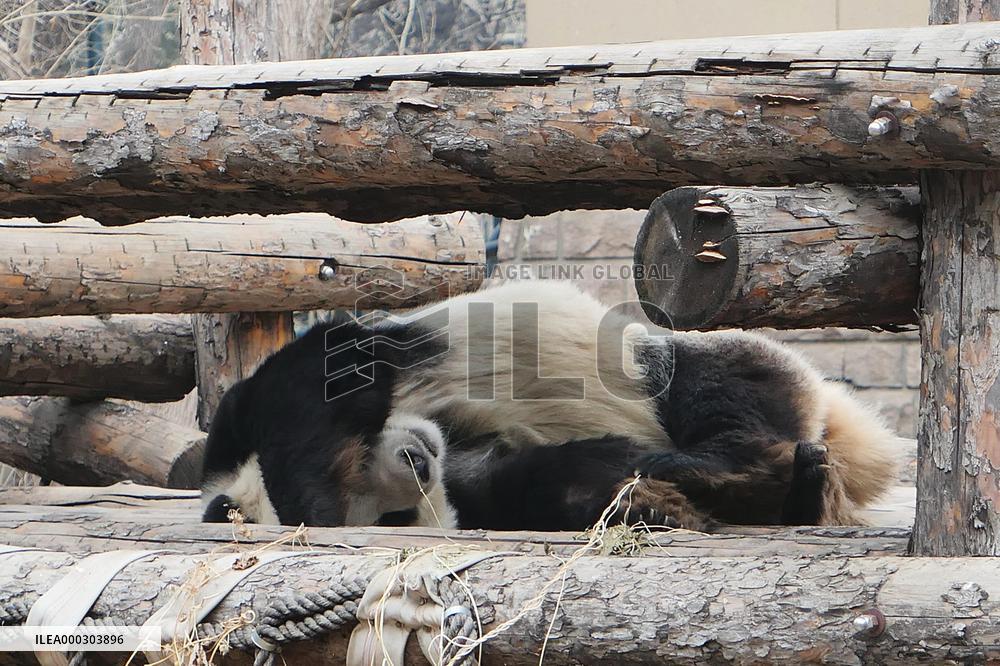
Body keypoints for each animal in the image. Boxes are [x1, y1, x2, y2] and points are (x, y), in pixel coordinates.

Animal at [200, 280, 896, 531]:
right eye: (392, 520)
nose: (415, 462)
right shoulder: (472, 484)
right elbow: (536, 483)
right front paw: (643, 501)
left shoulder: (254, 407)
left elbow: (322, 378)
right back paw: (787, 490)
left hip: (663, 359)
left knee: (713, 386)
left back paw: (718, 462)